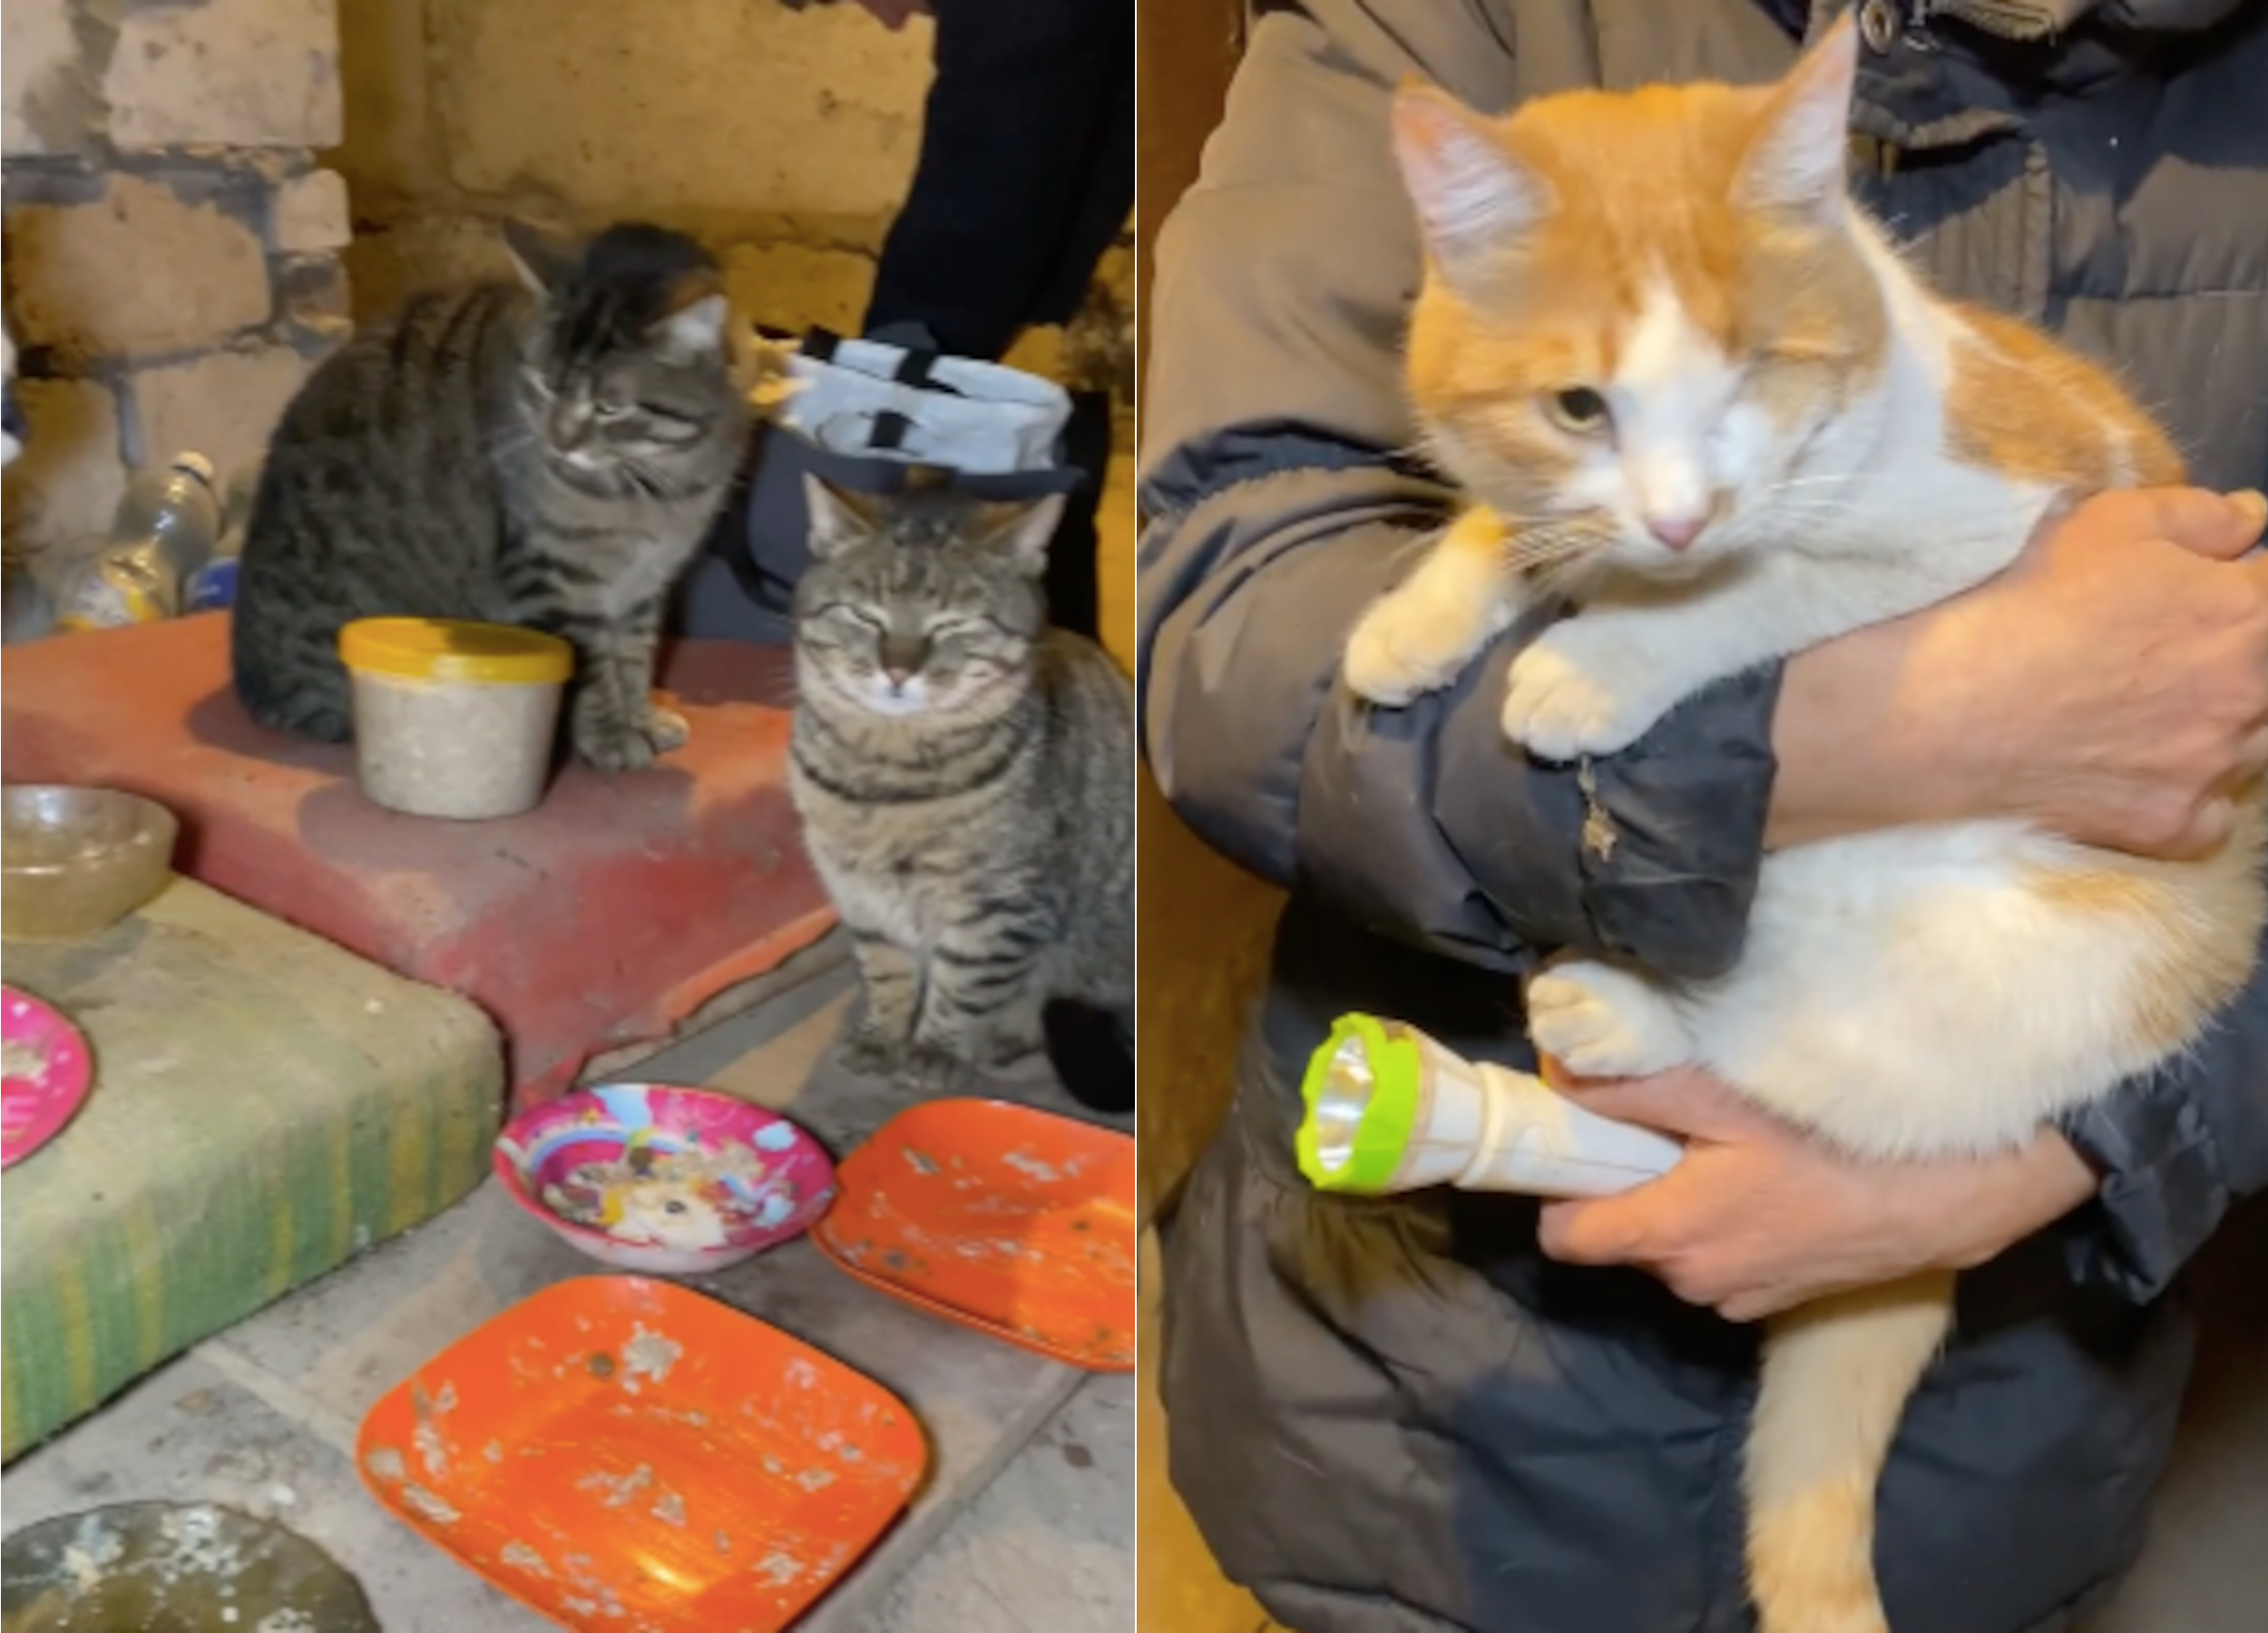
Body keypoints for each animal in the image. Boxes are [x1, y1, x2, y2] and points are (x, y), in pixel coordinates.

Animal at [230, 219, 744, 771]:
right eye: (546, 384)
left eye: (609, 407)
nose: (559, 442)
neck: (657, 480)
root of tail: (253, 685)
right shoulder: (552, 578)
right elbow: (593, 670)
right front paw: (609, 736)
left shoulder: (643, 586)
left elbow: (634, 659)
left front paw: (642, 719)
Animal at [794, 478, 1143, 1102]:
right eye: (864, 616)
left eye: (952, 625)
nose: (897, 671)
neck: (886, 769)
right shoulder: (860, 894)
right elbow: (885, 974)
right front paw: (883, 1036)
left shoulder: (998, 908)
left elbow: (962, 988)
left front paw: (937, 1050)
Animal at [1343, 13, 2268, 1633]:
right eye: (1579, 406)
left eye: (1749, 379)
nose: (1678, 515)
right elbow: (1519, 527)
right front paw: (1423, 615)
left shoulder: (1989, 524)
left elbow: (1770, 588)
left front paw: (1598, 661)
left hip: (2010, 974)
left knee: (1840, 1076)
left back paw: (1629, 1010)